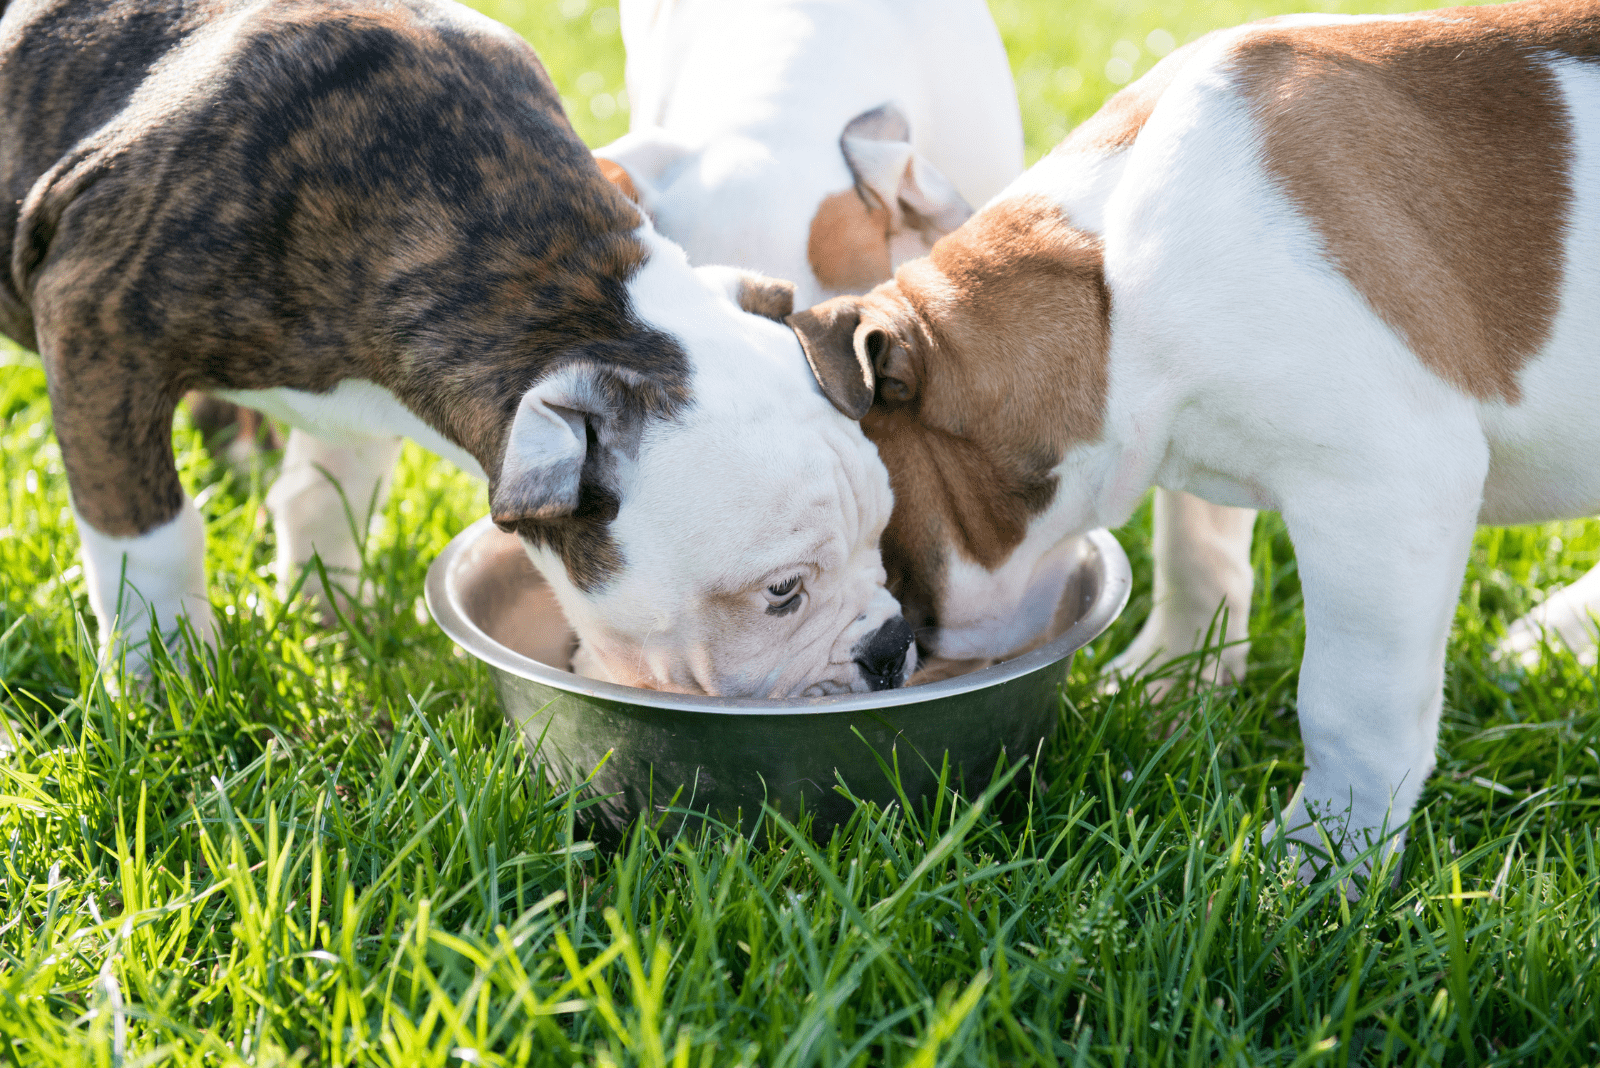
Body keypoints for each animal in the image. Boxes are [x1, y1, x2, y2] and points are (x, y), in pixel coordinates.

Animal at [3, 0, 915, 697]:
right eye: (782, 592)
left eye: (884, 535)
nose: (891, 646)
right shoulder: (94, 325)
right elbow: (156, 541)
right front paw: (168, 678)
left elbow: (325, 496)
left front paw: (328, 615)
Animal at [787, 0, 1600, 863]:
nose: (885, 657)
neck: (1109, 296)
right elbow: (1197, 559)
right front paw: (1176, 678)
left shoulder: (1386, 496)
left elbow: (1348, 703)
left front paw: (1319, 853)